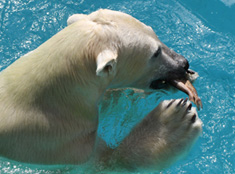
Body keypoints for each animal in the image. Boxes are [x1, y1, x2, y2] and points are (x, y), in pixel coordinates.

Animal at [0, 8, 202, 171]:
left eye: (154, 32)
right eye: (155, 53)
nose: (183, 64)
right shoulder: (58, 145)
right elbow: (111, 162)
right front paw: (174, 123)